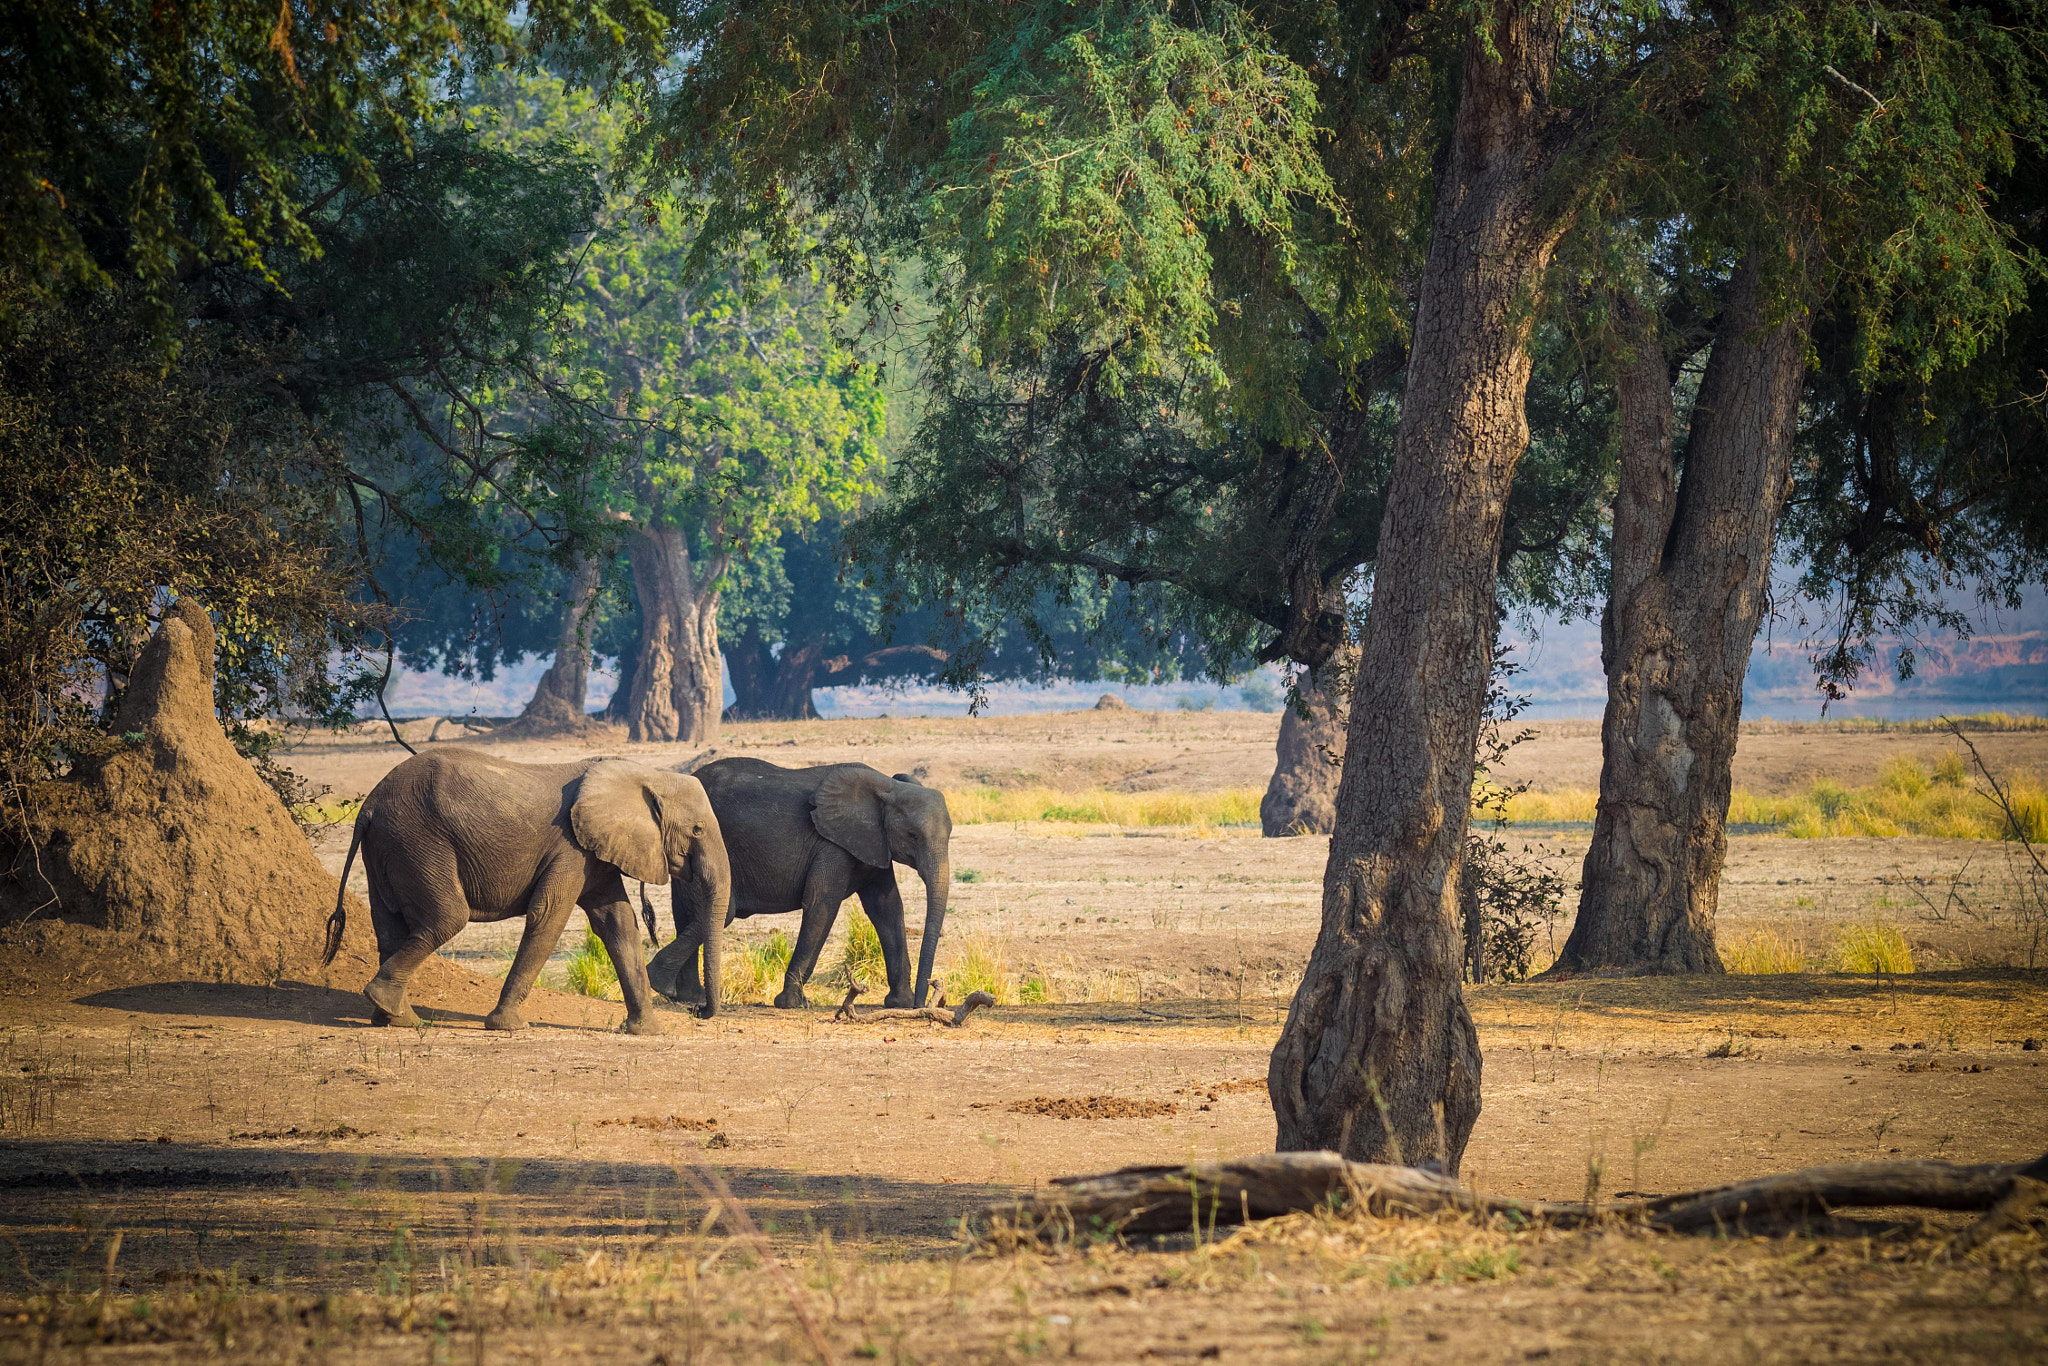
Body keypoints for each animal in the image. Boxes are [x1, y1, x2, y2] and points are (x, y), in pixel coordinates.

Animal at [323, 749, 733, 1036]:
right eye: (697, 830)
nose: (698, 1011)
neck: (641, 775)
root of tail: (369, 806)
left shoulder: (594, 852)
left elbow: (618, 922)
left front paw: (646, 1031)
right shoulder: (570, 847)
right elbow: (548, 915)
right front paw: (509, 1026)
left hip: (388, 847)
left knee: (388, 925)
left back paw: (395, 1018)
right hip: (419, 842)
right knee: (447, 917)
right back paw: (394, 1009)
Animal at [647, 765, 950, 1011]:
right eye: (913, 835)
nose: (923, 1002)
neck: (888, 786)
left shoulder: (873, 844)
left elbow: (887, 910)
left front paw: (900, 1002)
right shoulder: (833, 845)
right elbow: (822, 904)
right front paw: (793, 1003)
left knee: (689, 913)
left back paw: (687, 996)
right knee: (718, 911)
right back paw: (667, 985)